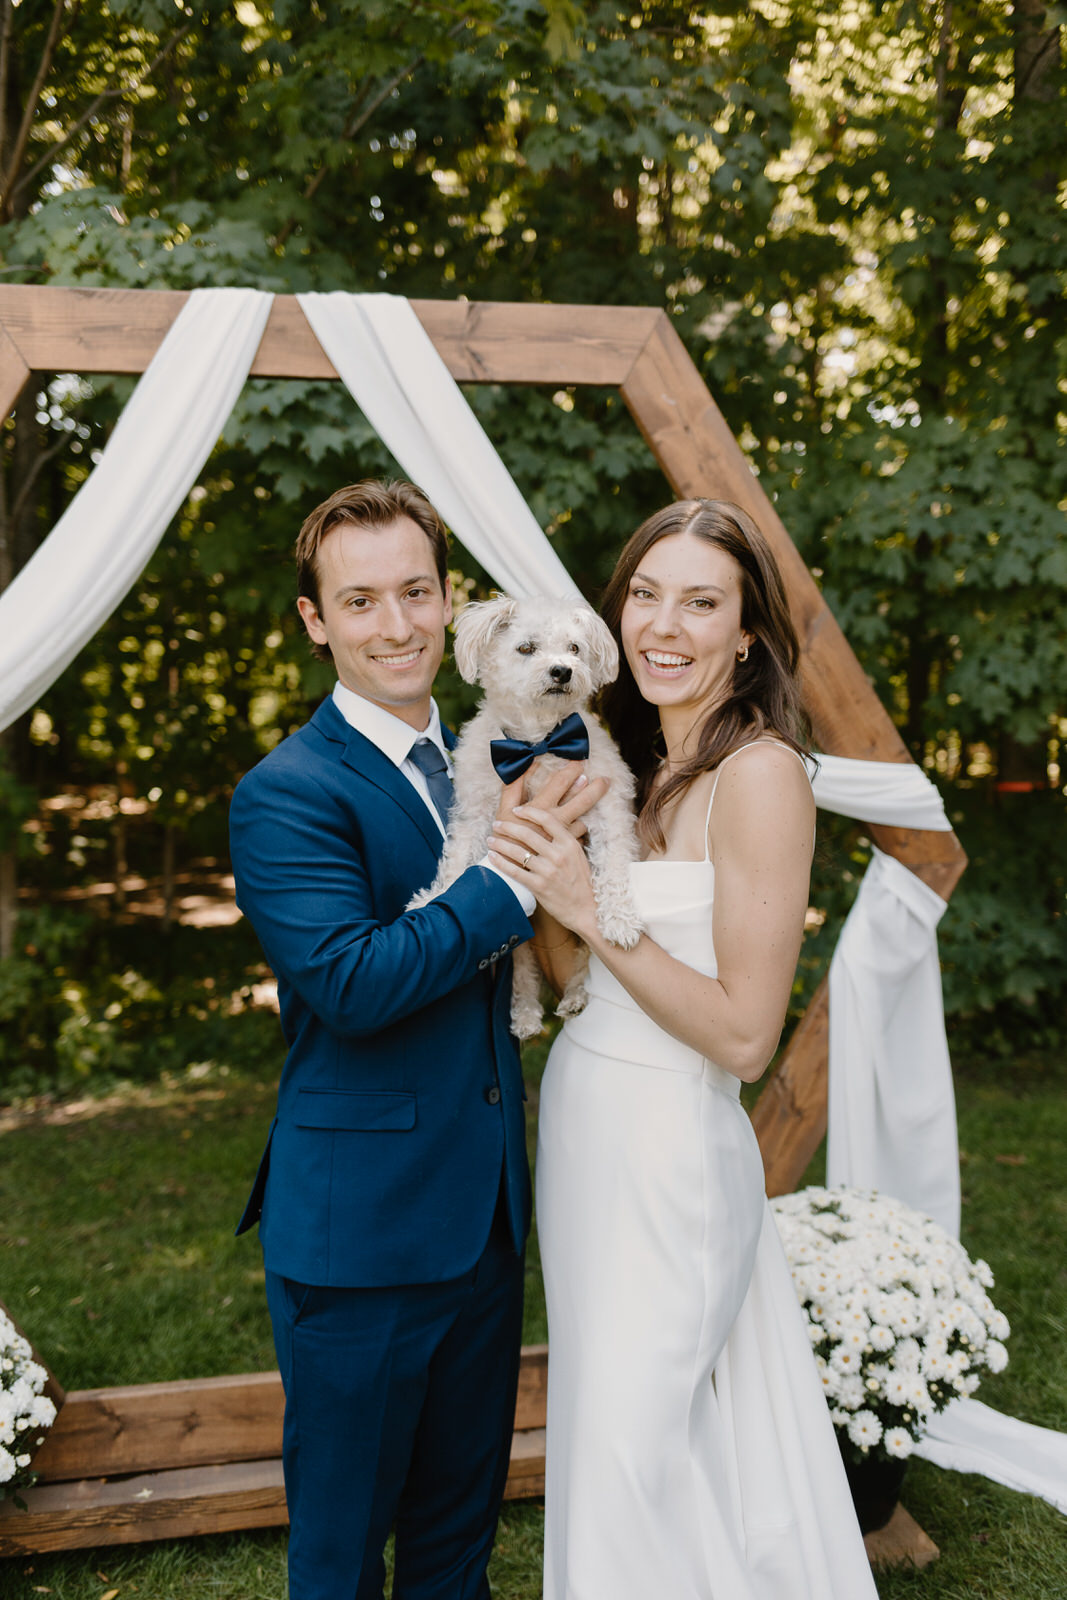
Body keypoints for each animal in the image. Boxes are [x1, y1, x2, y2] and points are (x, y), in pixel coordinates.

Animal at [409, 598, 643, 1036]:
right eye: (526, 648)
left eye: (574, 648)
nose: (562, 670)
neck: (538, 745)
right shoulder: (476, 813)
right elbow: (457, 863)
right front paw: (431, 898)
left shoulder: (608, 809)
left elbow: (614, 865)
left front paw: (619, 918)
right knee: (522, 962)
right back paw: (526, 1012)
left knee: (582, 956)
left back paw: (575, 996)